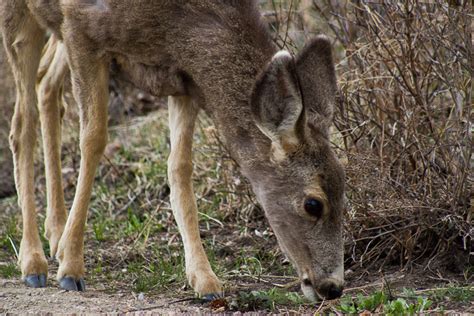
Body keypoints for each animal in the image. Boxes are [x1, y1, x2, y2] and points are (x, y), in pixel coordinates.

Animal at [1, 0, 346, 302]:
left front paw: (205, 280)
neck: (177, 30)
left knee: (46, 84)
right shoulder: (80, 27)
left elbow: (179, 167)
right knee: (22, 121)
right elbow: (94, 138)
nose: (333, 287)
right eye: (313, 204)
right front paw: (72, 268)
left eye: (345, 192)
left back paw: (56, 235)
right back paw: (33, 261)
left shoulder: (183, 79)